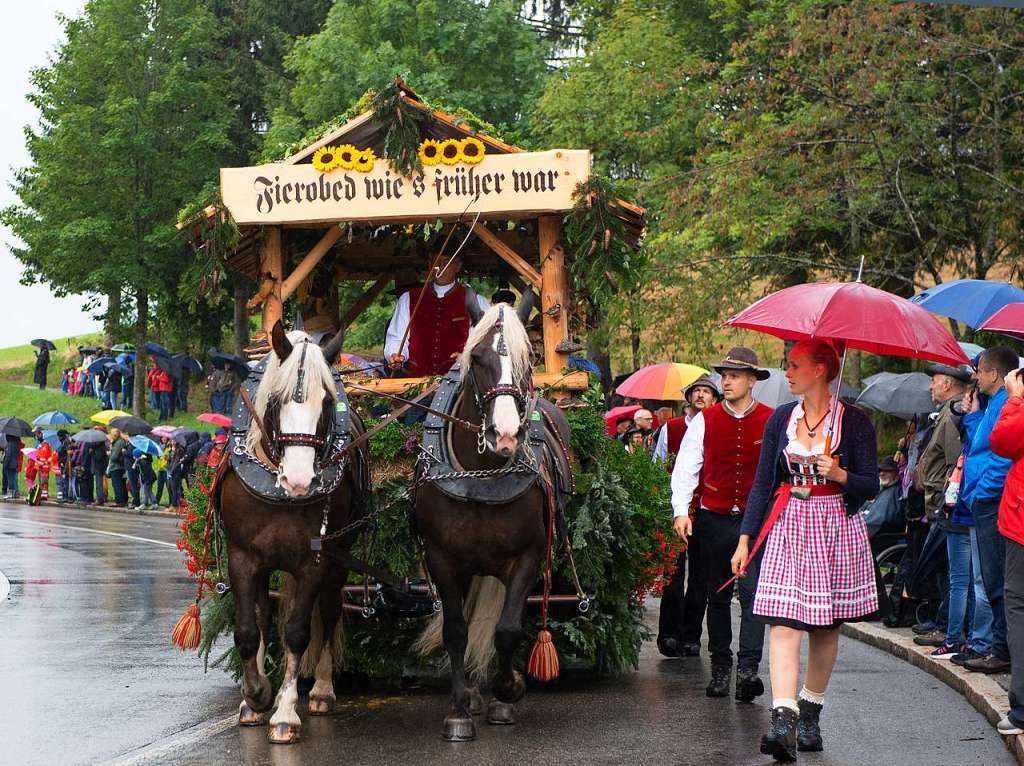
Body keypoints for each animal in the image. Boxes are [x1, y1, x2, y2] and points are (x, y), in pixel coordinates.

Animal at [218, 321, 370, 741]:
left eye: (327, 402)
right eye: (276, 400)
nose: (300, 480)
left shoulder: (314, 561)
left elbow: (298, 632)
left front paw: (285, 711)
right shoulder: (242, 556)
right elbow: (248, 630)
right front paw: (255, 695)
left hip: (337, 558)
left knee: (330, 611)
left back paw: (321, 691)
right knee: (263, 616)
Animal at [411, 299, 573, 741]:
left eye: (528, 358)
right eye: (478, 358)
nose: (505, 434)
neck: (479, 475)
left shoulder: (527, 558)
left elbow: (507, 630)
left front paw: (508, 689)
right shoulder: (443, 560)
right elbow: (456, 629)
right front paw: (459, 710)